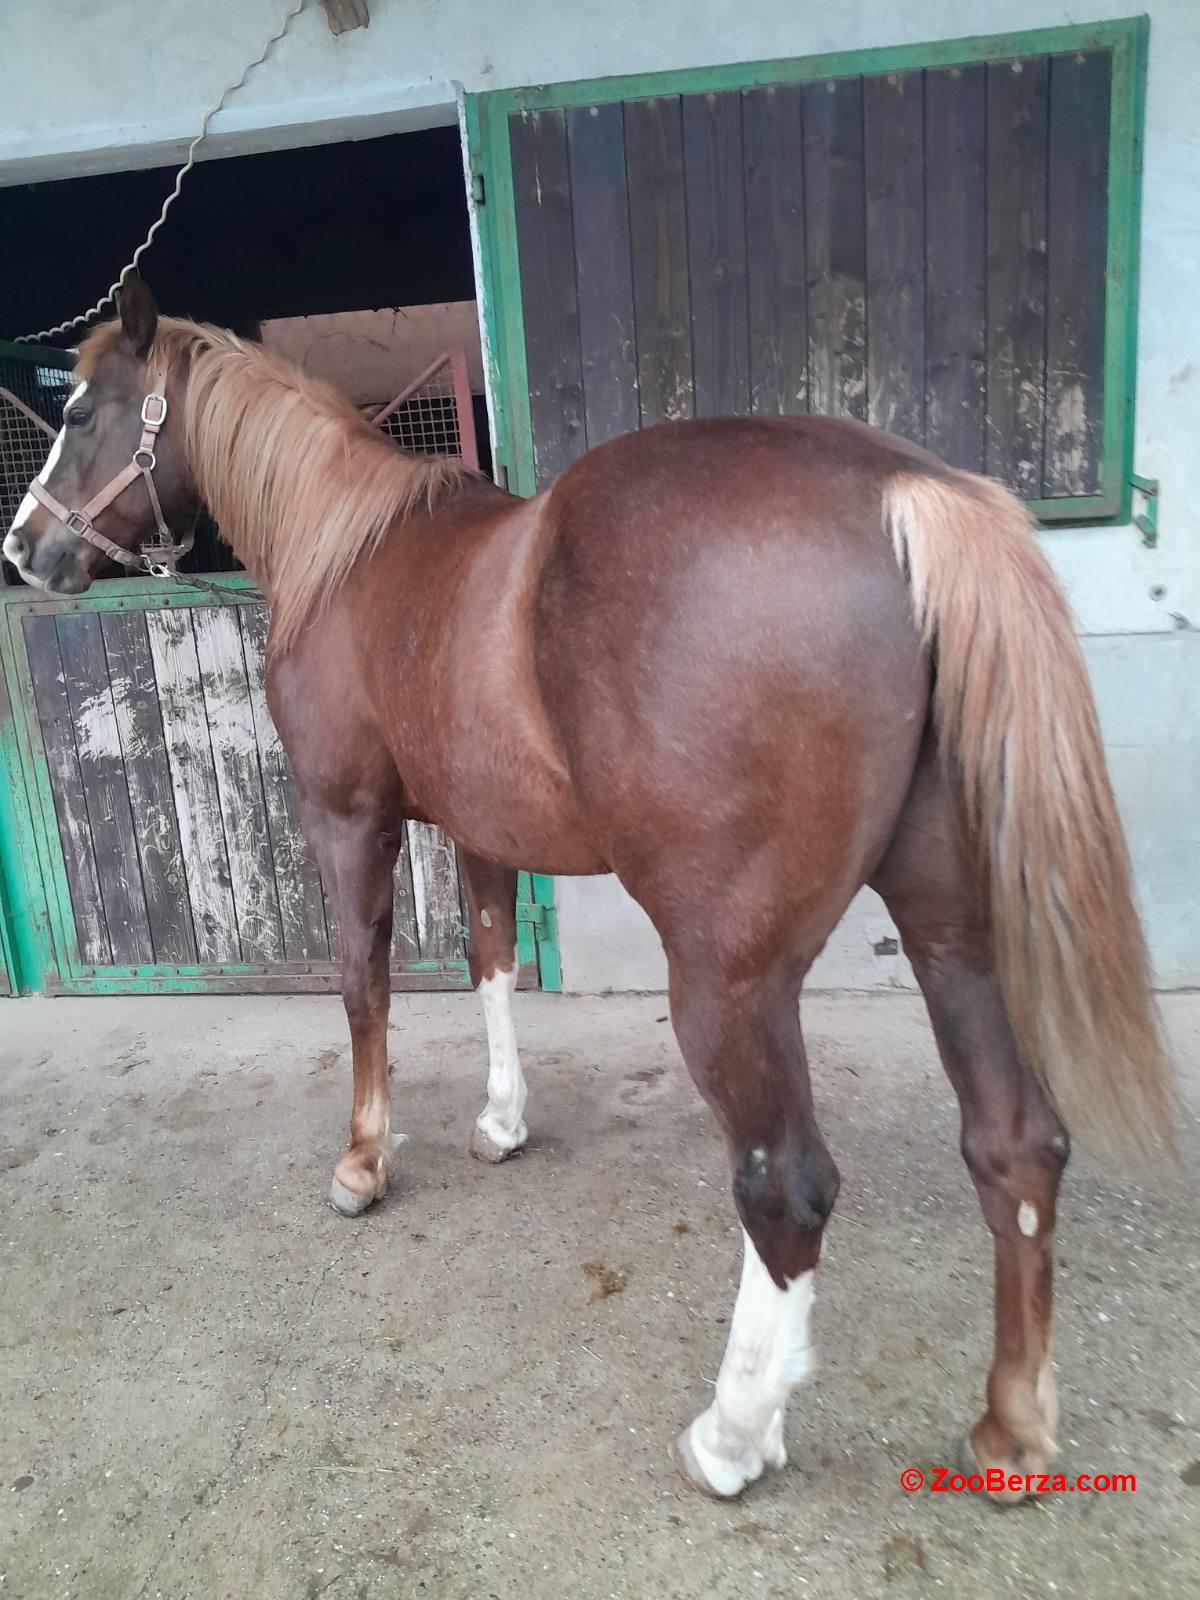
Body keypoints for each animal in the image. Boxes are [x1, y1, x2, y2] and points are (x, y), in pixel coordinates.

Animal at [4, 276, 1173, 1503]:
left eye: (77, 411)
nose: (25, 548)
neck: (350, 555)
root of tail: (902, 490)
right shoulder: (478, 827)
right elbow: (489, 963)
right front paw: (501, 1120)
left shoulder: (348, 820)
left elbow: (364, 985)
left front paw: (364, 1162)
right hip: (953, 927)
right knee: (1016, 1142)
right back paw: (1010, 1430)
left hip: (731, 975)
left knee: (787, 1185)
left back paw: (733, 1434)